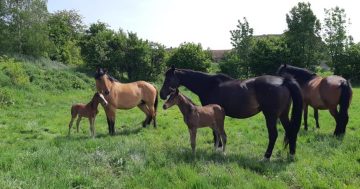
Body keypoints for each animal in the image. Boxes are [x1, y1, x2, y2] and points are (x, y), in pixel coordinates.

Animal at [160, 65, 304, 159]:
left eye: (168, 79)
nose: (161, 95)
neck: (208, 85)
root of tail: (284, 81)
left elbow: (216, 133)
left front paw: (218, 149)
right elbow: (217, 133)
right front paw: (218, 148)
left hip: (271, 116)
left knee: (273, 135)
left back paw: (266, 157)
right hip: (283, 114)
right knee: (290, 131)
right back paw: (291, 155)